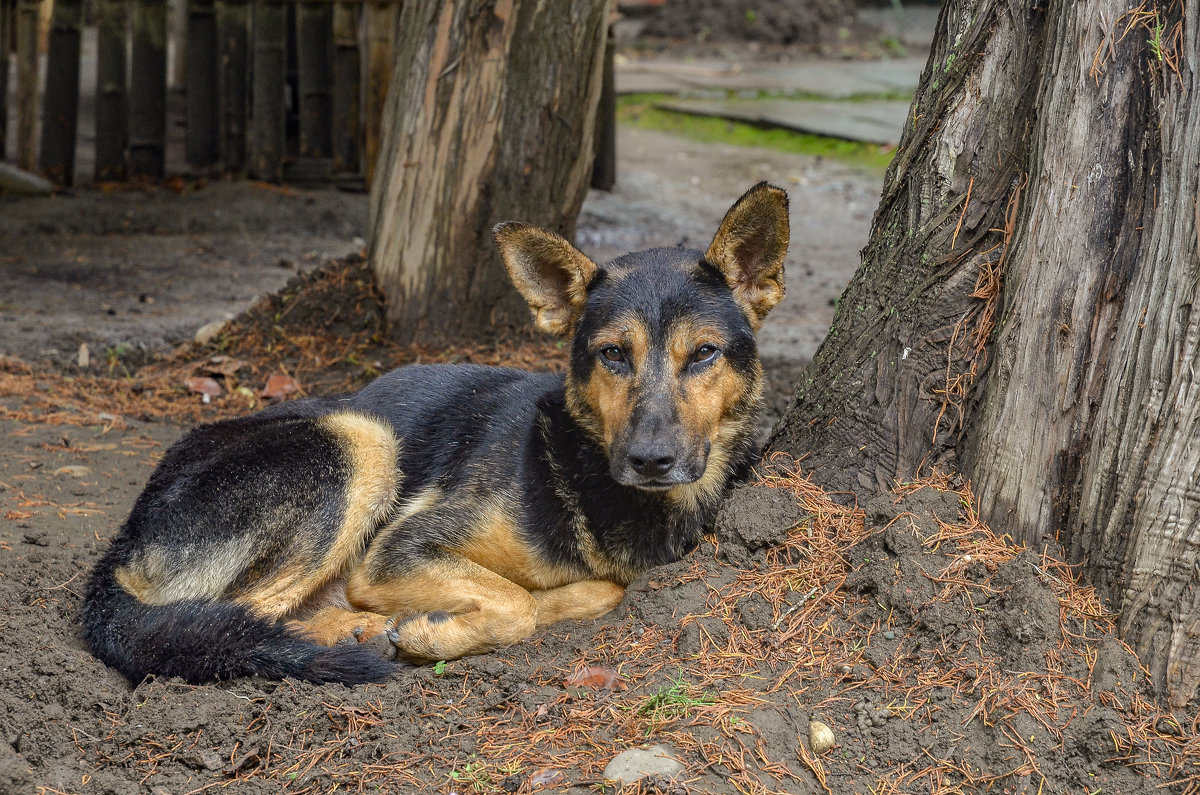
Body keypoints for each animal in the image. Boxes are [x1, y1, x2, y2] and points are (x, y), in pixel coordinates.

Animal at [87, 180, 796, 686]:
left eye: (703, 355)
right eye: (613, 355)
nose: (650, 460)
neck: (584, 469)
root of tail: (124, 540)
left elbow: (582, 592)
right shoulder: (399, 548)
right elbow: (516, 605)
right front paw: (433, 634)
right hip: (361, 441)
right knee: (235, 618)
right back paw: (351, 634)